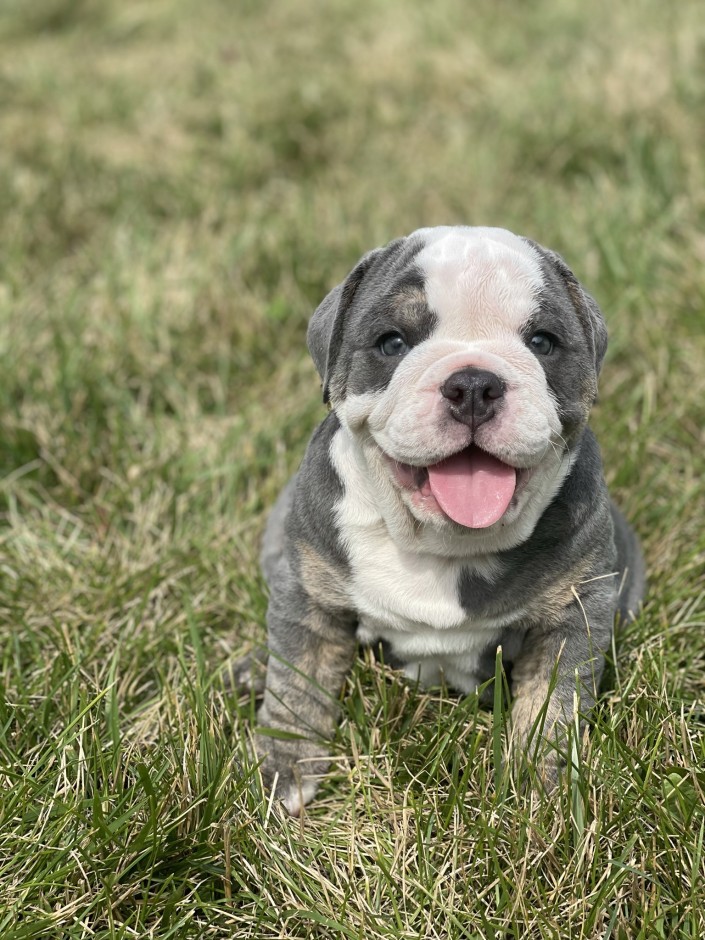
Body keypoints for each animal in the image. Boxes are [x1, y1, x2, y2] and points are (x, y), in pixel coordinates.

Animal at [236, 224, 644, 812]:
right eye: (392, 343)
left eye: (542, 342)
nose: (473, 383)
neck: (442, 544)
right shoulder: (307, 591)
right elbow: (297, 681)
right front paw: (282, 765)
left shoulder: (575, 613)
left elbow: (552, 706)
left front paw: (542, 785)